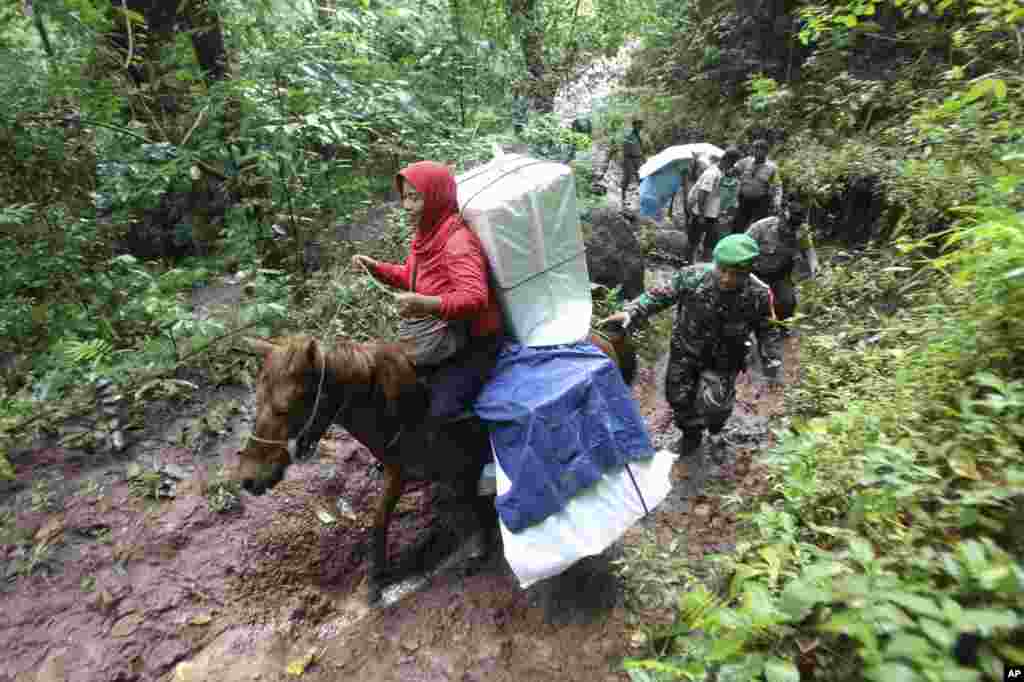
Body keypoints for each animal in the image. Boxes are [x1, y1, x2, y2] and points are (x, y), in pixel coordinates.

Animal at [237, 329, 630, 602]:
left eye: (286, 407)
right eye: (257, 400)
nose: (248, 478)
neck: (402, 407)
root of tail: (600, 336)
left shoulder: (460, 468)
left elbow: (469, 504)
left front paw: (479, 547)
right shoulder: (399, 470)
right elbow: (379, 519)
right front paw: (376, 578)